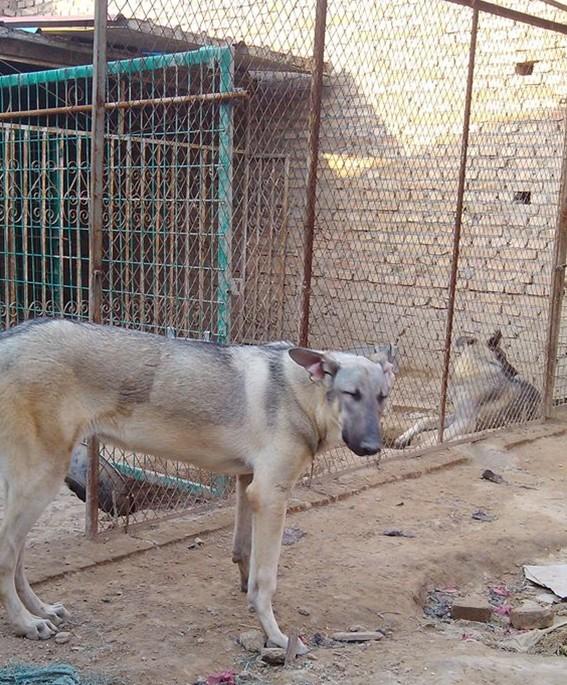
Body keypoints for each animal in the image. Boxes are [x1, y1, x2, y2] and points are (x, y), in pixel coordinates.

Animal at [0, 318, 394, 648]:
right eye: (351, 394)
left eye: (382, 398)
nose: (373, 447)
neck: (300, 396)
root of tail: (9, 337)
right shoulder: (271, 495)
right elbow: (267, 578)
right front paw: (275, 635)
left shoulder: (247, 485)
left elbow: (243, 552)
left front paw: (247, 597)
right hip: (42, 482)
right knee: (7, 553)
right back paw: (25, 623)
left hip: (32, 489)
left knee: (19, 556)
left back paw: (42, 610)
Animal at [394, 328, 540, 448]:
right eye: (504, 356)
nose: (515, 372)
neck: (471, 370)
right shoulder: (458, 416)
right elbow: (425, 421)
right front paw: (403, 438)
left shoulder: (466, 422)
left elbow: (436, 438)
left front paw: (418, 448)